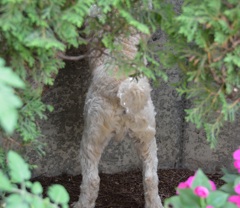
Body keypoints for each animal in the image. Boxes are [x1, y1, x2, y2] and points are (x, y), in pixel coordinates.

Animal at [73, 29, 163, 208]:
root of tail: (124, 88)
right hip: (147, 135)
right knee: (151, 177)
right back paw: (155, 203)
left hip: (93, 134)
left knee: (92, 179)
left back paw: (81, 204)